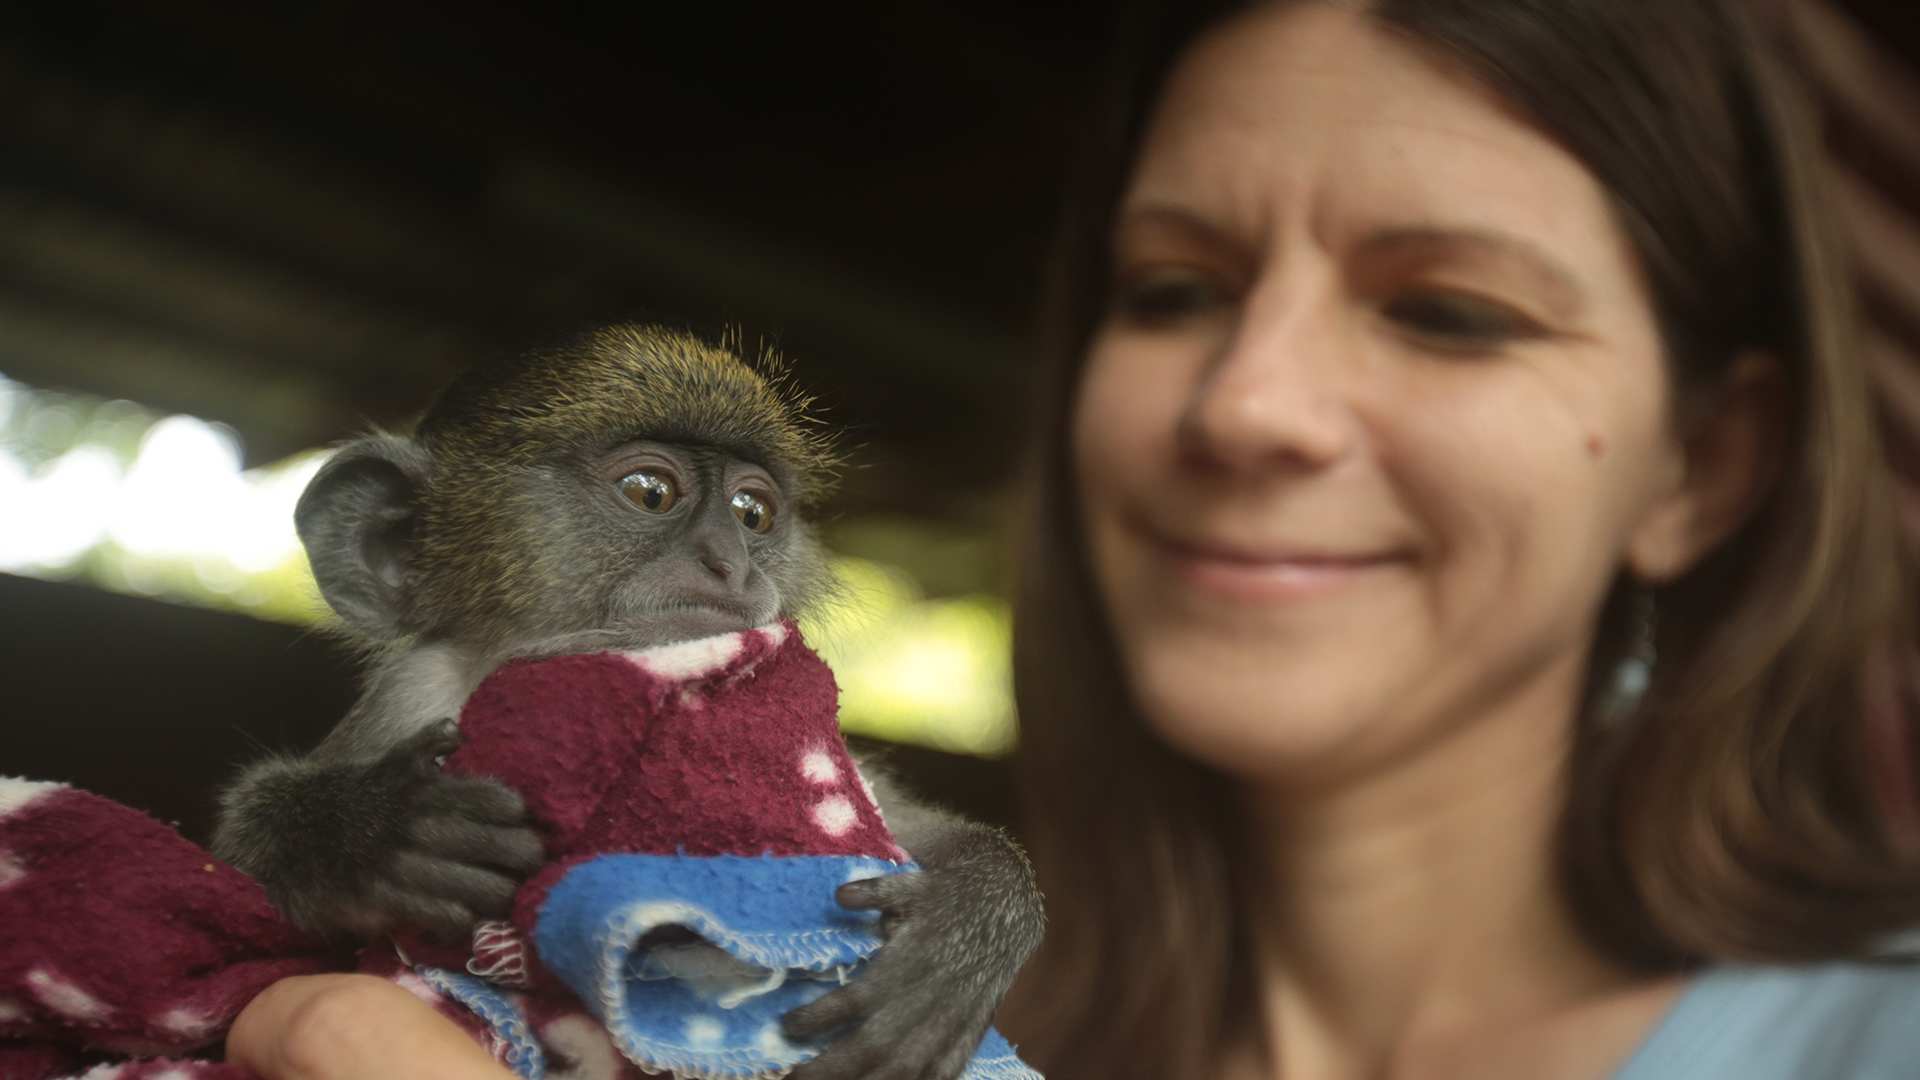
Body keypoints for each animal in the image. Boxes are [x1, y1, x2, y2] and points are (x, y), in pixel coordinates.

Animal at [210, 324, 1044, 1080]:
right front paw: (366, 832)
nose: (730, 564)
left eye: (752, 512)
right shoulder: (411, 695)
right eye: (651, 493)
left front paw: (966, 924)